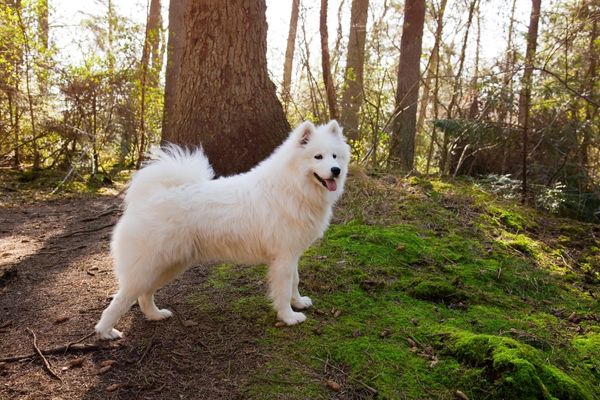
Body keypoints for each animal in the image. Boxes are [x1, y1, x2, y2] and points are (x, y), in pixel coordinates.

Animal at [94, 120, 350, 340]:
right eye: (318, 156)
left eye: (335, 156)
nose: (336, 170)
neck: (293, 187)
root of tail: (151, 195)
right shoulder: (283, 258)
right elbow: (284, 290)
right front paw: (289, 317)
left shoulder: (291, 255)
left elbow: (295, 282)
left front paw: (298, 303)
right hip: (149, 265)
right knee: (121, 299)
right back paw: (106, 332)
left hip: (168, 265)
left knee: (144, 295)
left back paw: (156, 315)